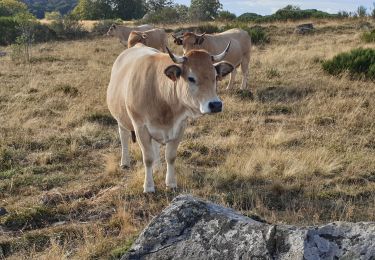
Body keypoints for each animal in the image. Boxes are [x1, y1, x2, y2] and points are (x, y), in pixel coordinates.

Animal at [106, 43, 235, 192]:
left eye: (215, 76)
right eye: (191, 78)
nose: (216, 104)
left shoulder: (180, 126)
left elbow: (171, 156)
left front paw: (171, 183)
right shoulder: (140, 128)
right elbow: (147, 158)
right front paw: (148, 186)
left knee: (155, 145)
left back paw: (157, 168)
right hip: (121, 118)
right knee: (124, 136)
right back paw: (125, 162)